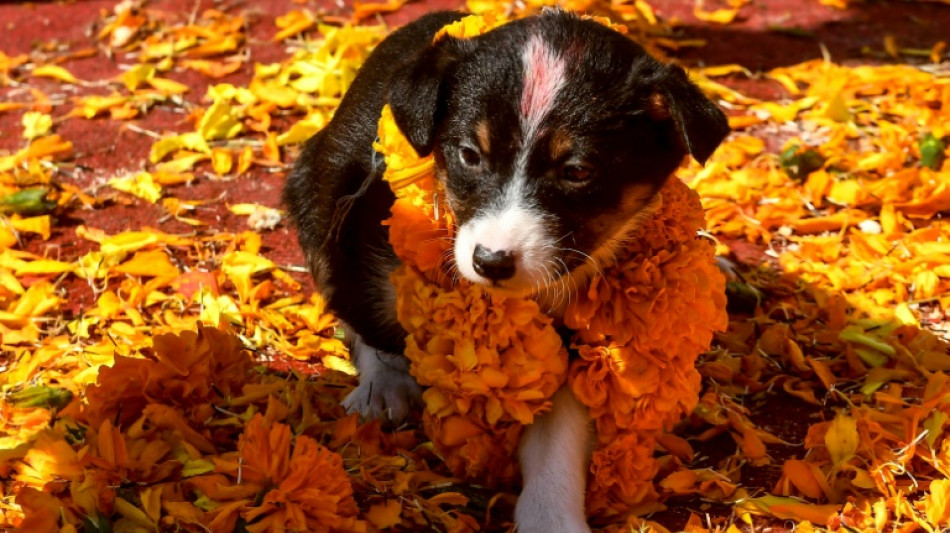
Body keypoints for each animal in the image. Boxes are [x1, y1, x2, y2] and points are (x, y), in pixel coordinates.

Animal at [282, 10, 728, 528]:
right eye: (469, 156)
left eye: (577, 172)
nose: (490, 262)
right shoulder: (361, 230)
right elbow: (364, 313)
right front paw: (383, 379)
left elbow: (558, 434)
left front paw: (550, 519)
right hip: (317, 180)